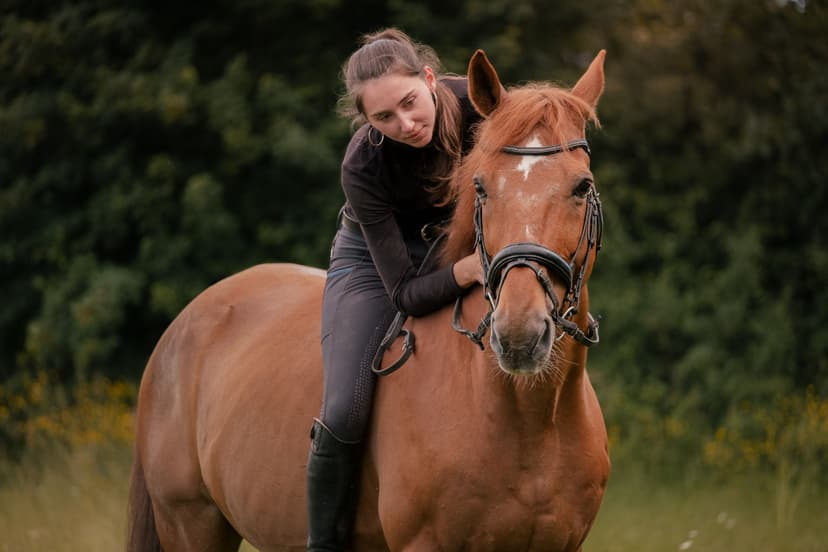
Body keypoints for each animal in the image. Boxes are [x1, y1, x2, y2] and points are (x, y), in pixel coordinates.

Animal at [128, 48, 610, 552]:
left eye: (582, 186)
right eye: (479, 186)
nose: (519, 334)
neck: (528, 418)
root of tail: (183, 324)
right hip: (191, 520)